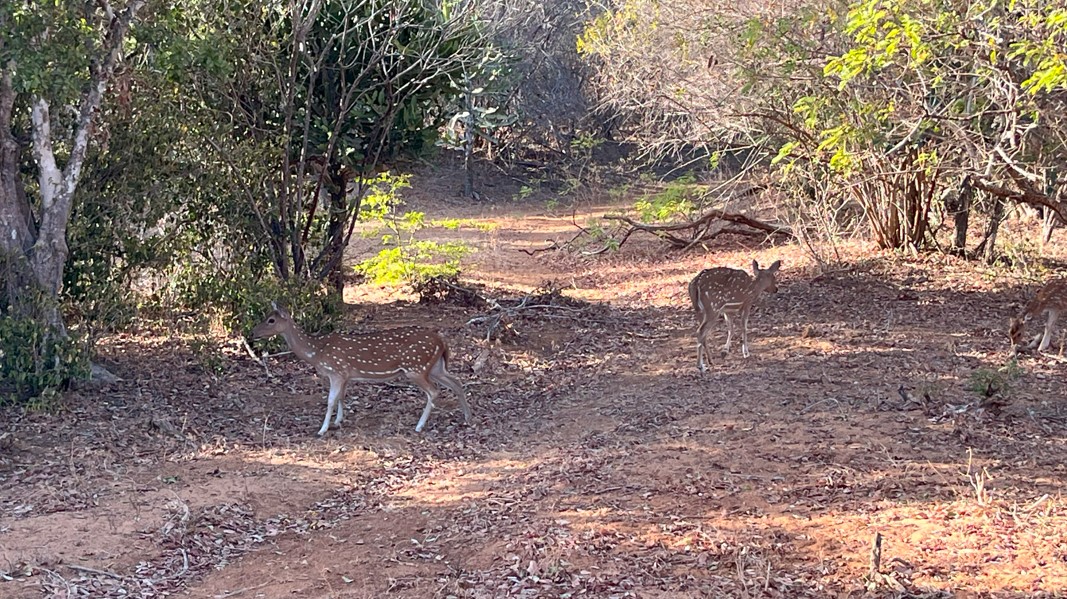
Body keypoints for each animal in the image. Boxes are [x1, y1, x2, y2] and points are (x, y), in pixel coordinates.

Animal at [249, 303, 471, 433]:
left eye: (271, 320)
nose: (252, 333)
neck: (316, 352)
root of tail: (442, 342)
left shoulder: (336, 371)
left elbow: (330, 400)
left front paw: (322, 429)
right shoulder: (345, 375)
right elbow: (341, 397)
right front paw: (338, 421)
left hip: (415, 367)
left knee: (434, 391)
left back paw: (419, 425)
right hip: (435, 367)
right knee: (456, 382)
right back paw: (467, 417)